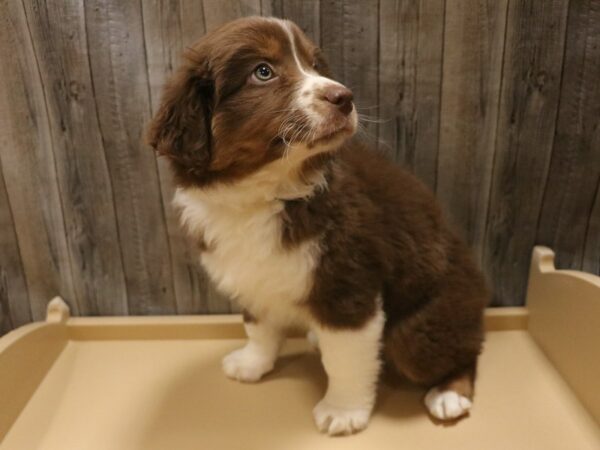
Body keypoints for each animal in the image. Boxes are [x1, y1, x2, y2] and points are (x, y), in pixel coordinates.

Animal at [148, 16, 490, 436]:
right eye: (263, 71)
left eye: (315, 65)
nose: (345, 97)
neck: (264, 192)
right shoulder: (249, 273)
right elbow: (257, 325)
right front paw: (252, 363)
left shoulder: (347, 285)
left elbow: (345, 359)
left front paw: (342, 412)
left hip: (420, 330)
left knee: (465, 349)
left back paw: (449, 393)